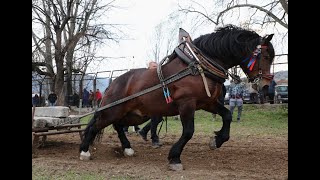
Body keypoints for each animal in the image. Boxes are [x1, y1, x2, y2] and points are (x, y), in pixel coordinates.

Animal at [79, 25, 276, 170]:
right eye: (266, 56)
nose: (265, 85)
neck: (198, 66)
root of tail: (114, 82)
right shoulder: (186, 104)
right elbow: (188, 131)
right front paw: (174, 158)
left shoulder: (208, 103)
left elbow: (227, 116)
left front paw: (217, 140)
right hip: (114, 110)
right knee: (96, 125)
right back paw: (84, 152)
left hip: (135, 114)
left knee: (118, 126)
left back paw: (127, 149)